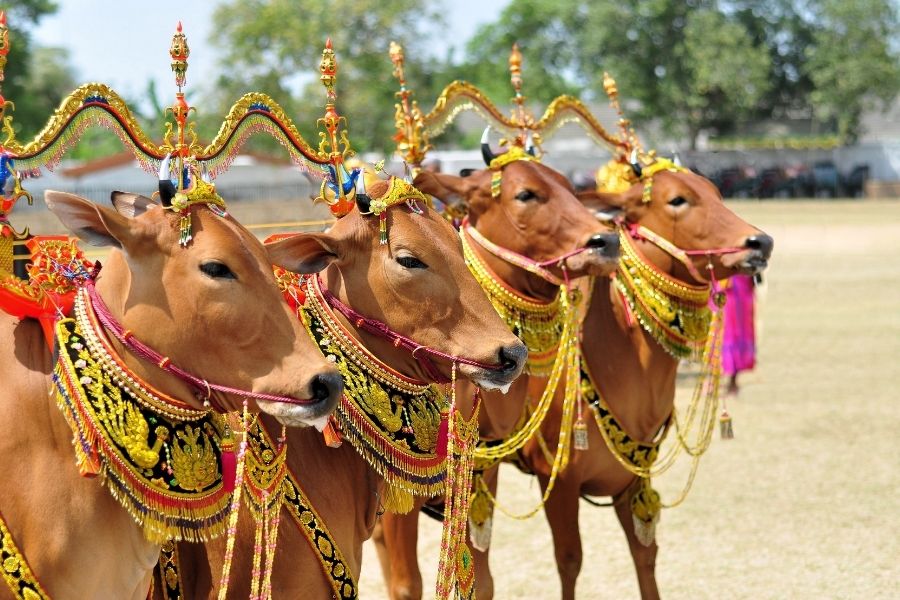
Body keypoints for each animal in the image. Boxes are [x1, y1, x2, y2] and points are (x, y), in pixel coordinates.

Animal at [374, 141, 624, 600]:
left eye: (569, 186)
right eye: (525, 194)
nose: (607, 241)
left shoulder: (480, 478)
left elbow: (481, 579)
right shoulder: (398, 495)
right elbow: (406, 585)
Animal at [512, 165, 772, 600]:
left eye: (717, 194)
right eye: (678, 199)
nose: (761, 242)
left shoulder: (634, 476)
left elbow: (645, 554)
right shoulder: (557, 479)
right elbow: (569, 561)